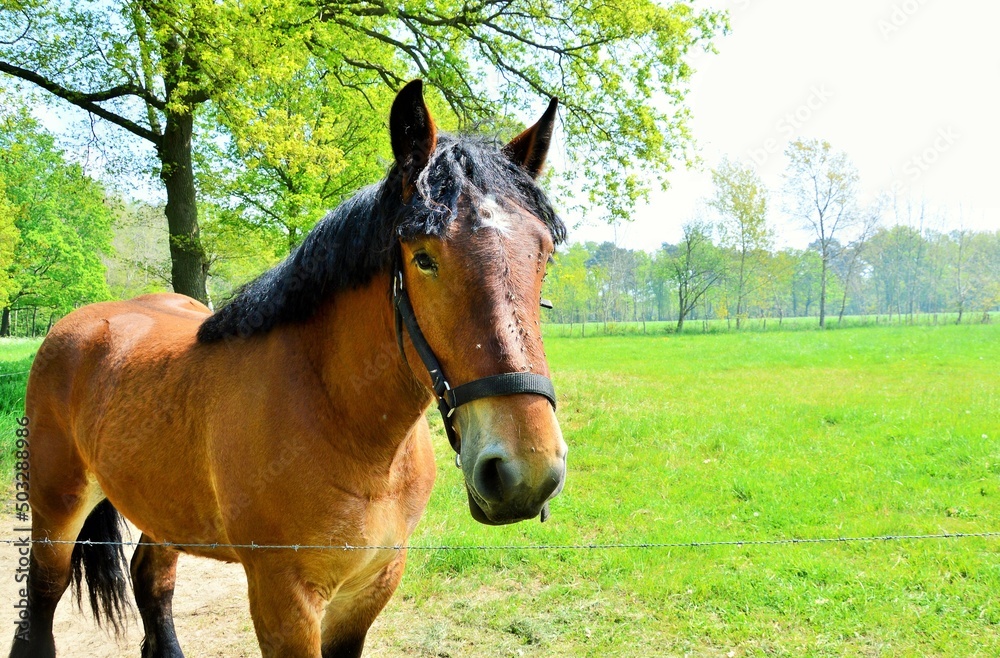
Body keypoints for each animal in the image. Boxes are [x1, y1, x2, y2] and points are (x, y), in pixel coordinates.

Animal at [11, 80, 568, 658]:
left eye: (544, 257)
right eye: (424, 258)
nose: (526, 469)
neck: (345, 423)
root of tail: (74, 325)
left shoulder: (369, 587)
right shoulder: (284, 599)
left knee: (152, 583)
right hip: (55, 509)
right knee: (44, 599)